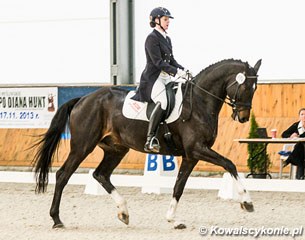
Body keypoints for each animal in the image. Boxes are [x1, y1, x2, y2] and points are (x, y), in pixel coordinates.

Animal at [32, 58, 262, 229]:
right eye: (244, 86)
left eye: (255, 88)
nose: (243, 117)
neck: (198, 102)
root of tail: (83, 99)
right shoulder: (197, 149)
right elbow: (229, 164)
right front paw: (247, 202)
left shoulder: (190, 155)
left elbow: (179, 186)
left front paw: (173, 219)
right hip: (82, 146)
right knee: (63, 175)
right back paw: (57, 219)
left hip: (116, 148)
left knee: (101, 175)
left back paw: (124, 212)